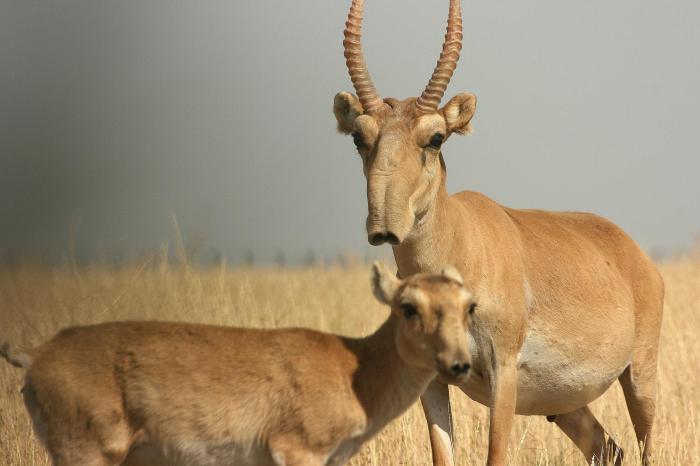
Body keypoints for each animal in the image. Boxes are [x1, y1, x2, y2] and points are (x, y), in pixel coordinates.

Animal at [0, 262, 478, 466]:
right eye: (408, 307)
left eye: (468, 305)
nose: (459, 365)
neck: (354, 368)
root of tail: (36, 354)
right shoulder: (296, 452)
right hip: (87, 454)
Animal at [330, 0, 664, 466]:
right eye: (360, 137)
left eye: (436, 137)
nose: (383, 226)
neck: (462, 238)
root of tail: (635, 256)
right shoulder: (432, 380)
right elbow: (442, 454)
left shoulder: (501, 371)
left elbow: (496, 454)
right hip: (567, 407)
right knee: (609, 449)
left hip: (640, 379)